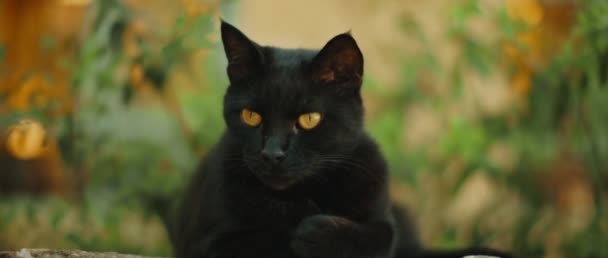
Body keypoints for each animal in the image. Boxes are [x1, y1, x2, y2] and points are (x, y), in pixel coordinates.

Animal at [170, 21, 508, 258]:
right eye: (251, 116)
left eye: (309, 119)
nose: (272, 154)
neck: (301, 196)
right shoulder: (207, 241)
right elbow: (265, 240)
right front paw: (297, 231)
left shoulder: (383, 217)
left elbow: (377, 236)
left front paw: (314, 233)